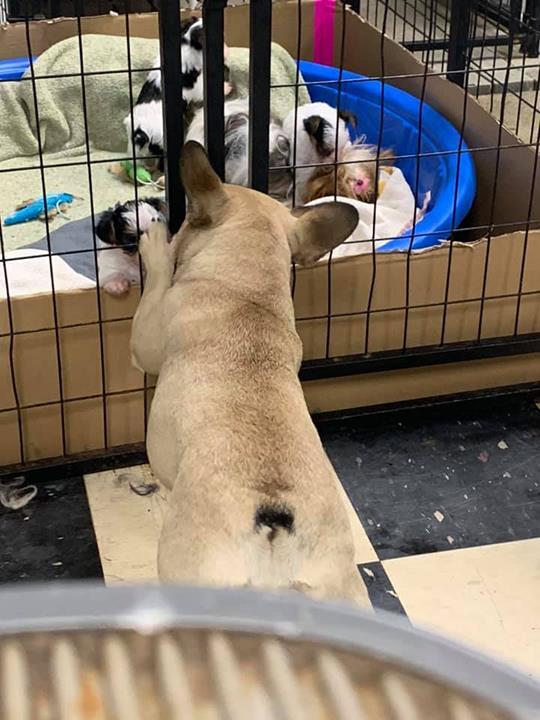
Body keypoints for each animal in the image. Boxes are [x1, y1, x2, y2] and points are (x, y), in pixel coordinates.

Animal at [130, 141, 369, 606]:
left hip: (188, 569)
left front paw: (156, 248)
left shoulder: (147, 337)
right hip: (346, 590)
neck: (247, 293)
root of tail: (275, 521)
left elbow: (157, 288)